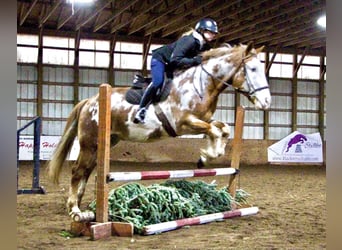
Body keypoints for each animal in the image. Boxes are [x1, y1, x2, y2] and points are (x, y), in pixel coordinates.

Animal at [47, 41, 272, 217]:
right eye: (252, 70)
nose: (267, 102)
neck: (200, 84)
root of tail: (89, 101)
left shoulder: (201, 121)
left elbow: (223, 129)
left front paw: (205, 157)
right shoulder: (183, 124)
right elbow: (215, 131)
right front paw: (207, 156)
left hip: (104, 142)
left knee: (87, 170)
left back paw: (77, 204)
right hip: (89, 143)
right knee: (78, 171)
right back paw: (75, 209)